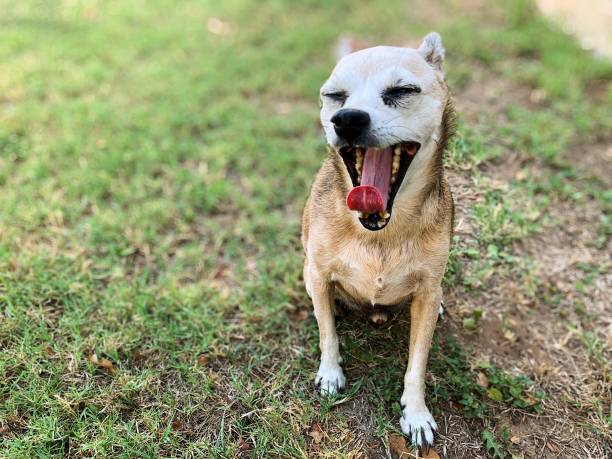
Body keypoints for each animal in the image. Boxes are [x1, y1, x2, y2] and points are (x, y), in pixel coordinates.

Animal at [302, 34, 454, 452]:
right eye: (335, 96)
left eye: (402, 91)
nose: (348, 119)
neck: (379, 231)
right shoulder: (317, 273)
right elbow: (327, 334)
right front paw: (330, 373)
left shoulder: (427, 289)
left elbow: (417, 363)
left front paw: (415, 413)